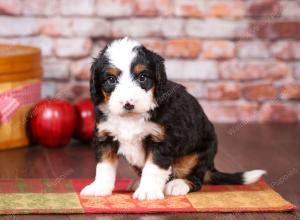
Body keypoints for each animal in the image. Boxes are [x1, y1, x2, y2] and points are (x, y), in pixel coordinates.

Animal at [79, 38, 264, 201]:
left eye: (142, 77)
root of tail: (209, 166)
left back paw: (177, 185)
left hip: (196, 156)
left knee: (195, 179)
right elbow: (104, 166)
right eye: (111, 79)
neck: (132, 118)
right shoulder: (105, 136)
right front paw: (99, 187)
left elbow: (153, 168)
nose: (128, 104)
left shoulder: (162, 140)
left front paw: (148, 191)